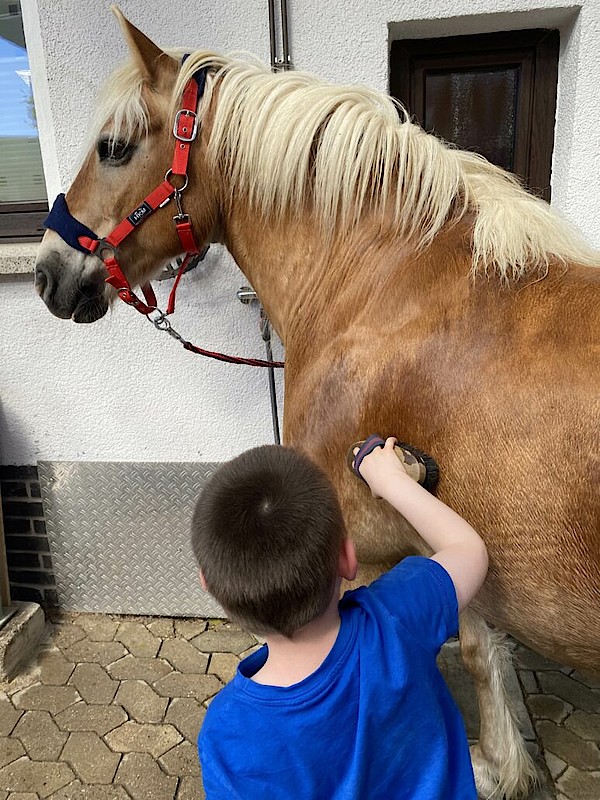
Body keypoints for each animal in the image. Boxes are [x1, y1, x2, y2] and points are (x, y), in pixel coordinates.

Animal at [34, 9, 600, 799]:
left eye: (113, 148)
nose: (45, 274)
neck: (385, 289)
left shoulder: (358, 549)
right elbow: (485, 649)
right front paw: (500, 763)